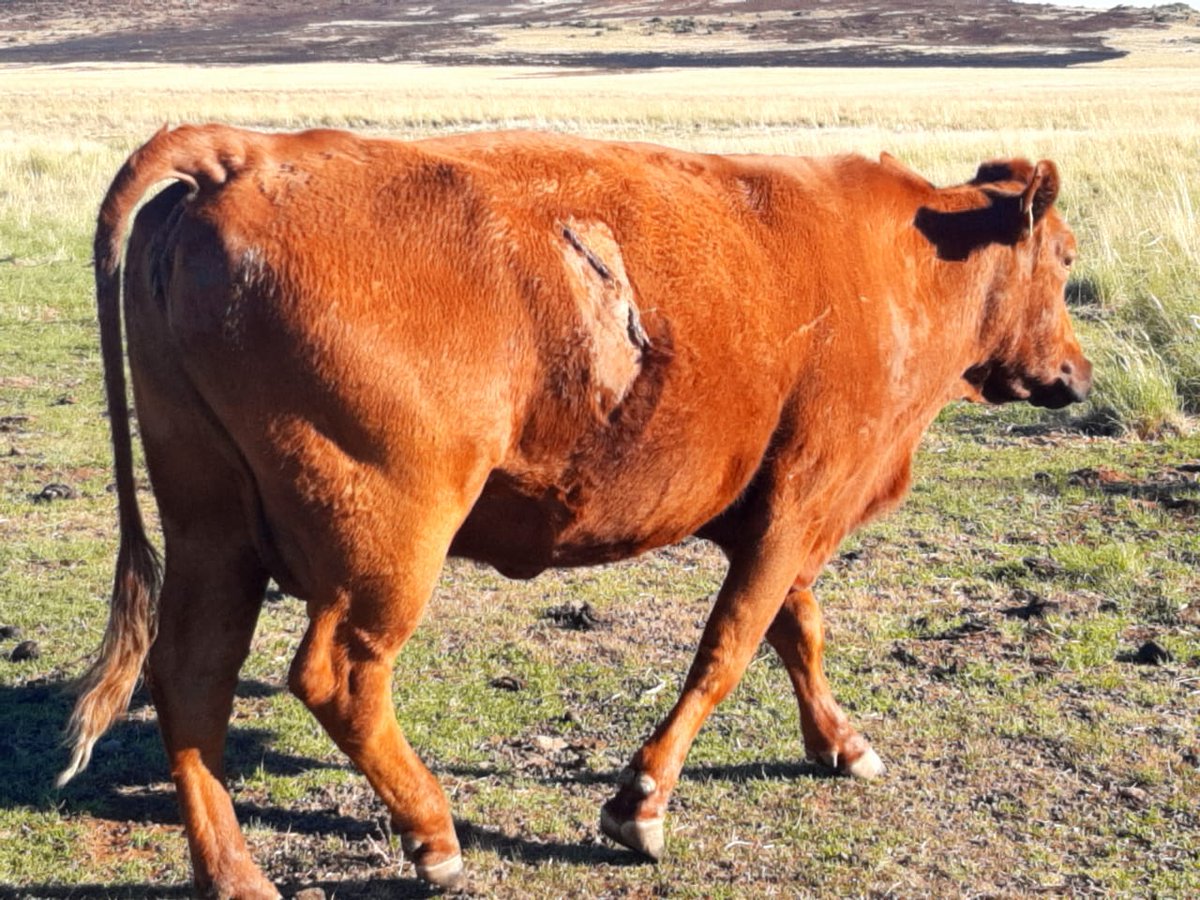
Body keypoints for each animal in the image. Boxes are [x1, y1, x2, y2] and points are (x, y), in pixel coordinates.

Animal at [60, 124, 1091, 897]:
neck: (911, 260)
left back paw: (236, 876)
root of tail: (247, 153)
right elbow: (731, 647)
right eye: (1066, 257)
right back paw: (436, 838)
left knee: (192, 677)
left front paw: (841, 744)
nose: (1077, 375)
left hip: (212, 532)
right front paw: (640, 805)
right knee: (339, 676)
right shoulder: (801, 506)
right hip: (388, 546)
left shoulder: (775, 521)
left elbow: (794, 631)